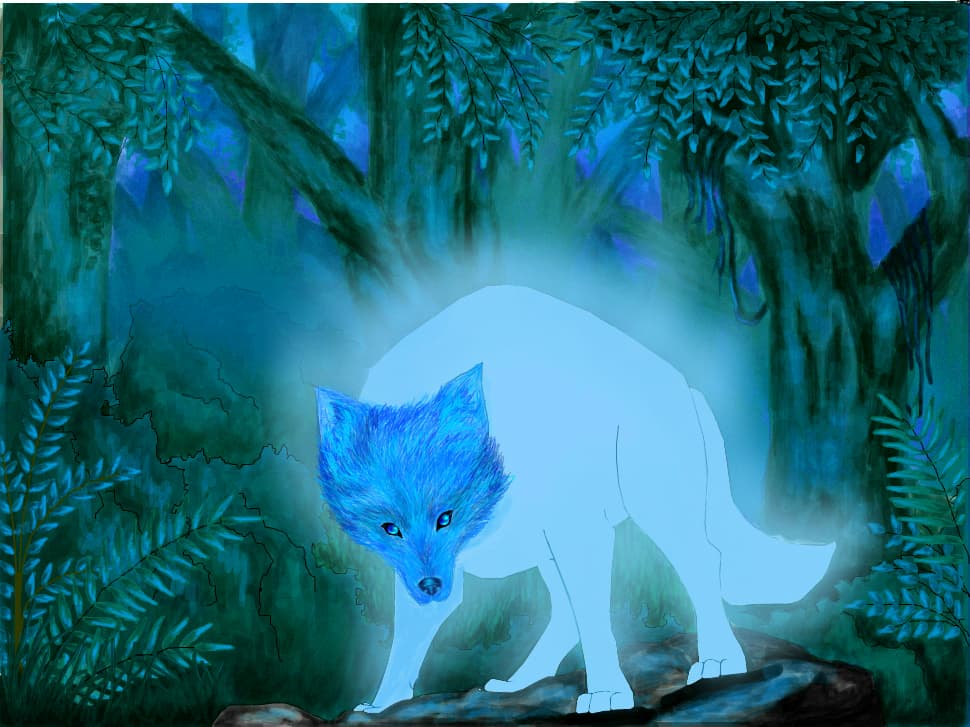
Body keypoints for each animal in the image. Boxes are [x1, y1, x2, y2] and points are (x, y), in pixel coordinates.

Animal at [316, 285, 835, 714]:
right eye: (389, 528)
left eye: (447, 516)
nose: (430, 586)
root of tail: (685, 387)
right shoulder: (429, 567)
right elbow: (407, 642)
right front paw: (381, 705)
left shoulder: (580, 531)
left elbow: (595, 617)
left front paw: (606, 695)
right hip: (549, 546)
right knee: (564, 612)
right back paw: (518, 684)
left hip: (657, 510)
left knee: (703, 564)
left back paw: (721, 662)